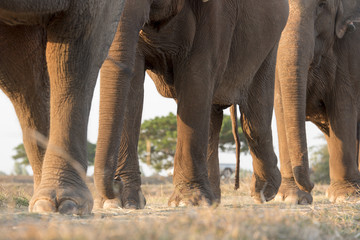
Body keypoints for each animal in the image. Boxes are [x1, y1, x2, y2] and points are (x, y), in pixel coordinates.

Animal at [93, 0, 290, 207]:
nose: (116, 183)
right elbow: (132, 82)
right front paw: (120, 202)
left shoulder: (216, 13)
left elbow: (195, 77)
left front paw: (187, 202)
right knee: (214, 118)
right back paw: (215, 198)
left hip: (269, 43)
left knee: (254, 120)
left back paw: (265, 191)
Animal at [276, 0, 360, 204]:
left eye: (321, 5)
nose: (312, 185)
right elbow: (280, 105)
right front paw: (291, 198)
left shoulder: (351, 45)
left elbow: (343, 104)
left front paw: (346, 196)